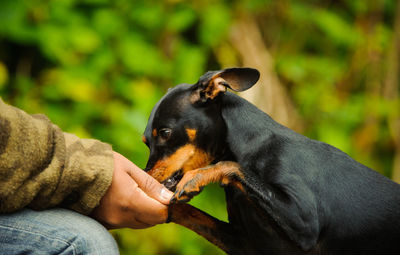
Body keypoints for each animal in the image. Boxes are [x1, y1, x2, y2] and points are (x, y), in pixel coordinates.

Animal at [141, 67, 400, 255]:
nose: (146, 175)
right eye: (145, 141)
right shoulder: (245, 244)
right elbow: (187, 212)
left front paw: (196, 178)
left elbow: (231, 166)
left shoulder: (304, 223)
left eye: (165, 133)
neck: (253, 145)